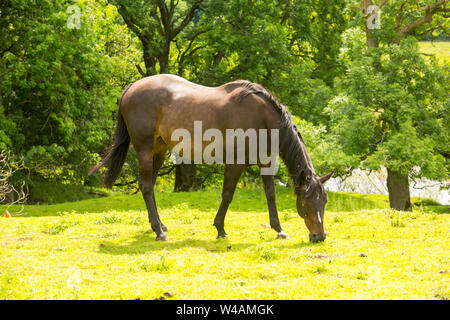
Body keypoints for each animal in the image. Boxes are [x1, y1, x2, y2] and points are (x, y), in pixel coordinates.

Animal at [89, 74, 332, 241]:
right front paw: (220, 228)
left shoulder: (265, 162)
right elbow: (227, 195)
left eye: (324, 200)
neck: (261, 116)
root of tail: (132, 87)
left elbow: (270, 195)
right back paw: (159, 232)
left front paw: (279, 229)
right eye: (306, 201)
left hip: (159, 149)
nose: (319, 236)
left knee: (148, 185)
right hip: (145, 148)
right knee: (147, 186)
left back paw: (159, 225)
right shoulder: (235, 163)